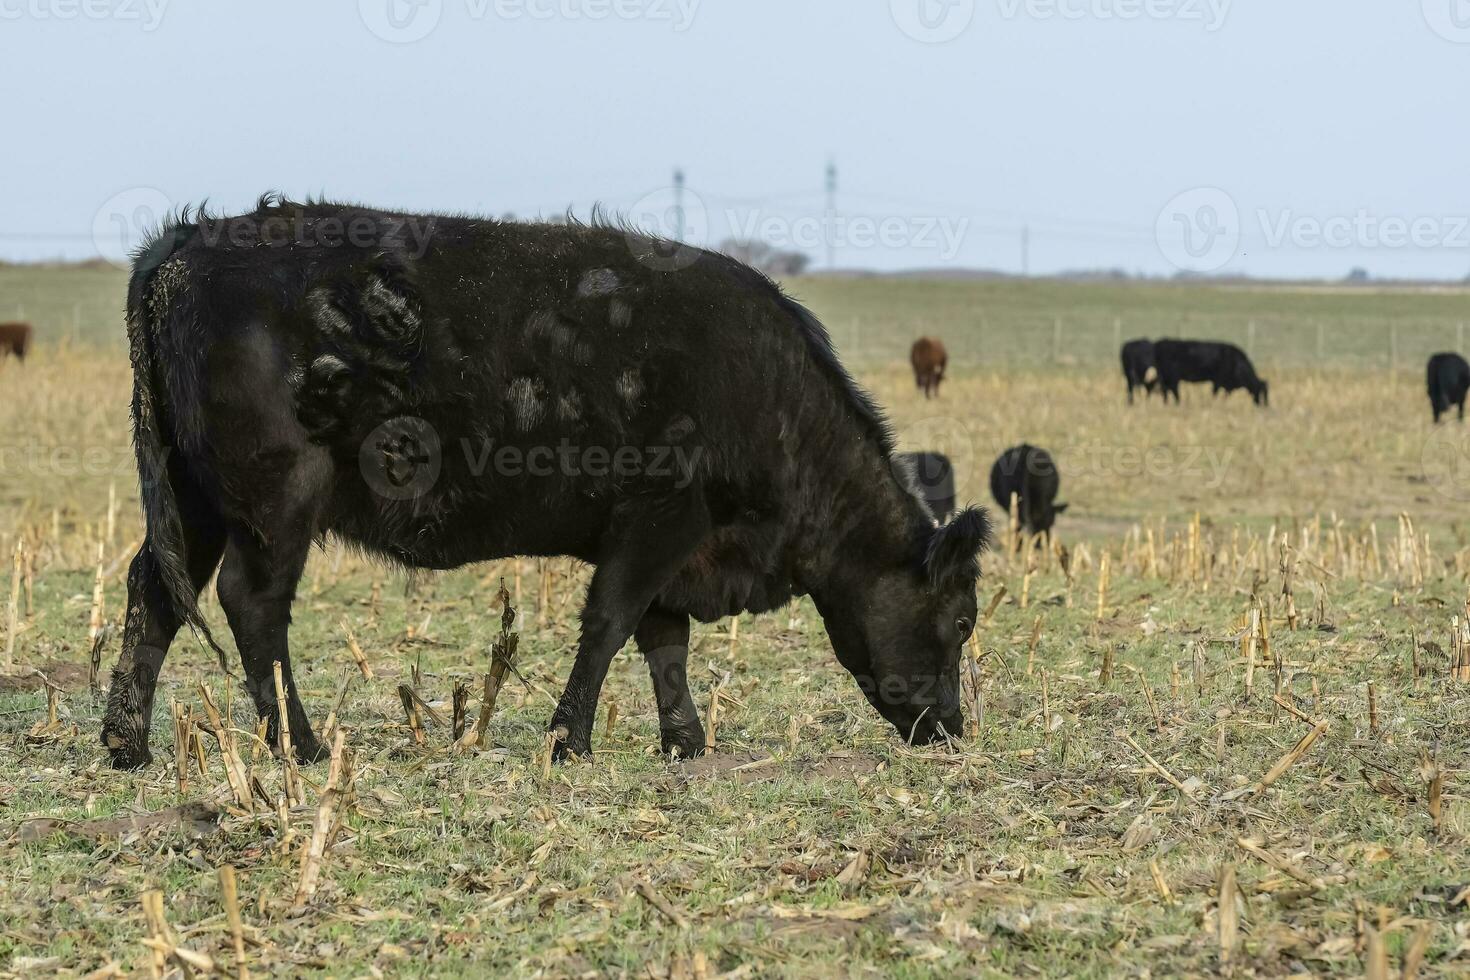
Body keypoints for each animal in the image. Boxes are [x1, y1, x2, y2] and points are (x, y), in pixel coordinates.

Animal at [94, 195, 987, 769]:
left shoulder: (670, 545)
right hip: (277, 497)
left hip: (194, 497)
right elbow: (611, 625)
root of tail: (187, 242)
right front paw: (570, 741)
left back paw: (125, 743)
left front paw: (683, 741)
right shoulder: (657, 517)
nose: (952, 727)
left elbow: (665, 640)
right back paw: (300, 746)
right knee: (251, 602)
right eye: (963, 619)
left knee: (156, 592)